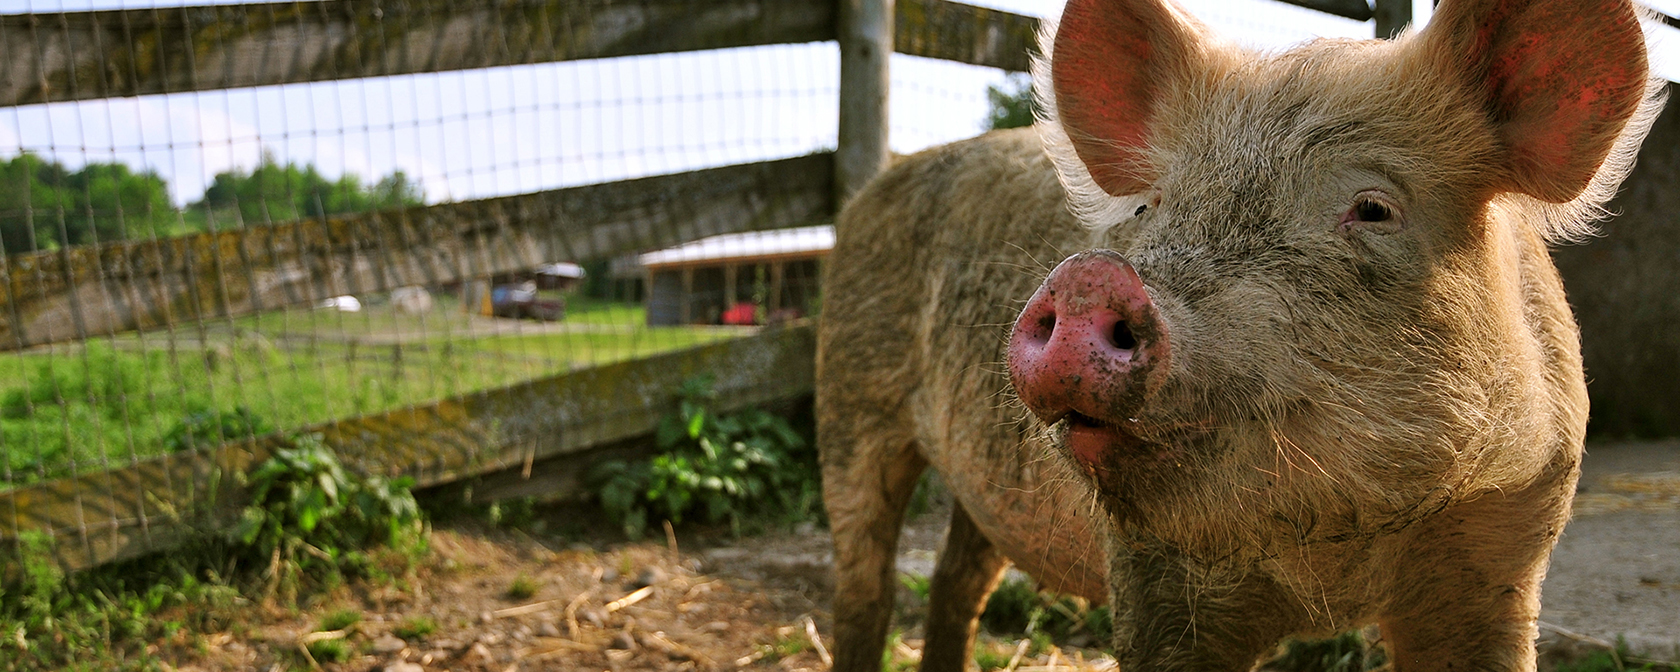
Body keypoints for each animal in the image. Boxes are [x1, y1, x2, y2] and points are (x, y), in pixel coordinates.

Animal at [816, 0, 1666, 665]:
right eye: (1150, 207)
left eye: (1373, 208)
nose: (1089, 276)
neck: (1338, 549)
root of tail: (870, 189)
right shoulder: (1151, 575)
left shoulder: (1507, 552)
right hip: (852, 400)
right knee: (867, 584)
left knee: (956, 581)